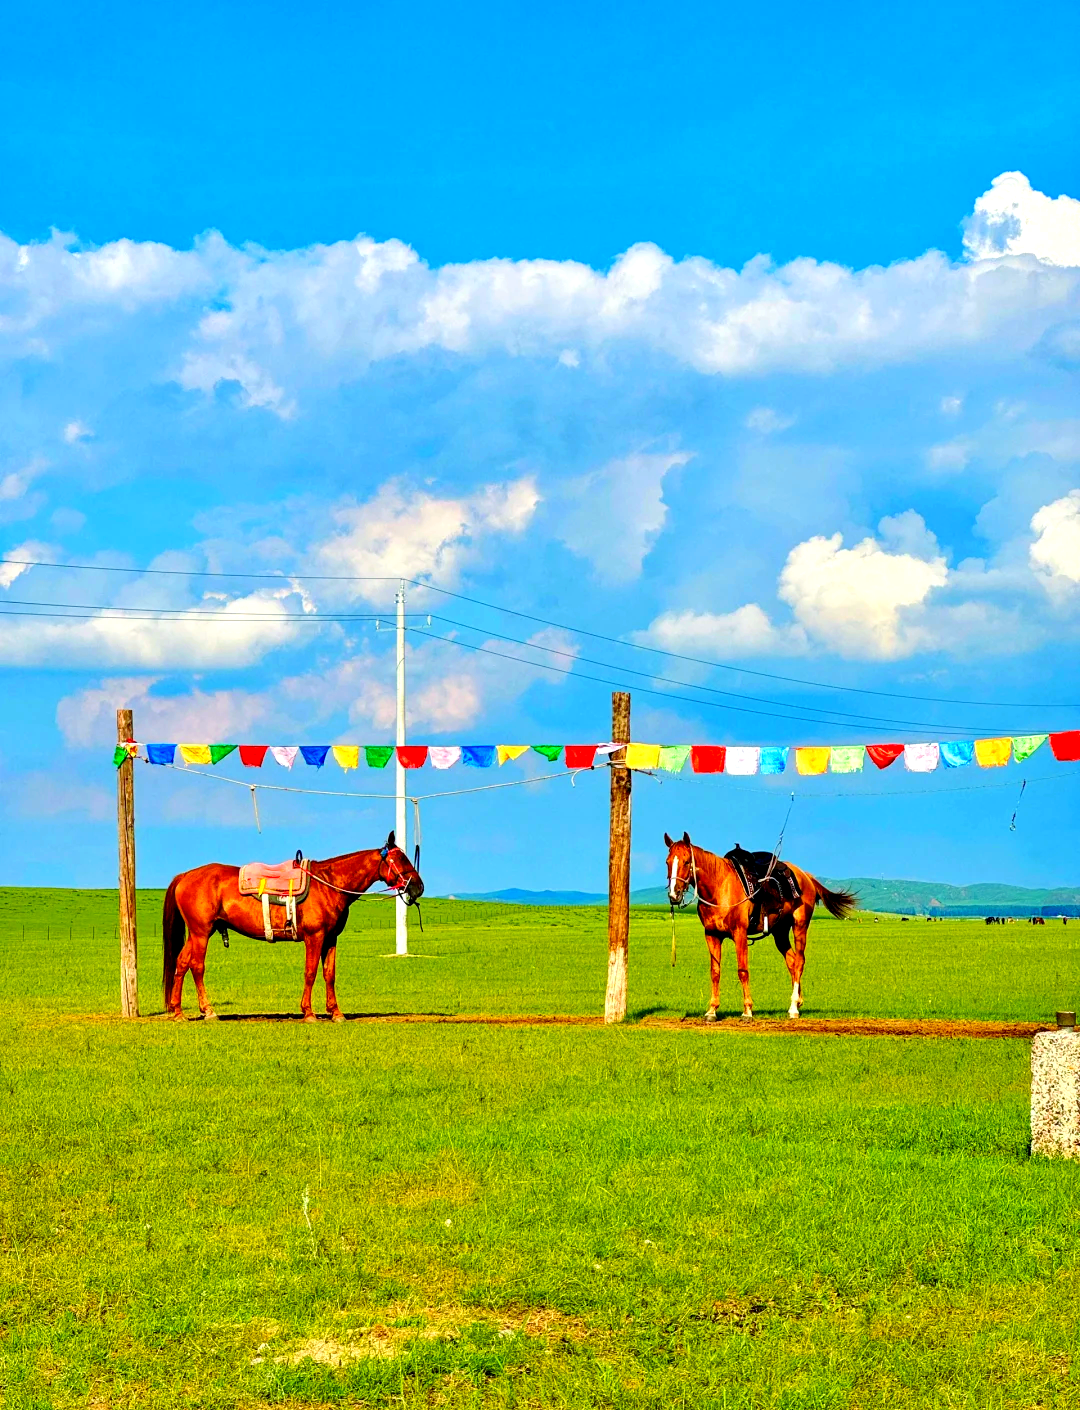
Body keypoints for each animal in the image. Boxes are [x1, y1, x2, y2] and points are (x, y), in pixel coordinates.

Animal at [162, 829, 425, 1020]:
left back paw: (178, 1011)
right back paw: (208, 1011)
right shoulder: (314, 937)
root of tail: (186, 875)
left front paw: (335, 1012)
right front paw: (308, 1012)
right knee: (197, 966)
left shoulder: (330, 938)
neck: (328, 883)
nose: (418, 887)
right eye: (399, 859)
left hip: (198, 933)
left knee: (181, 963)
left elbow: (329, 973)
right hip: (201, 932)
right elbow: (310, 972)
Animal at [665, 829, 857, 1020]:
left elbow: (743, 971)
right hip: (780, 932)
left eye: (686, 861)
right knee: (792, 961)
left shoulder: (739, 933)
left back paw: (793, 1008)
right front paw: (712, 1010)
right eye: (668, 862)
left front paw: (747, 1010)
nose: (674, 894)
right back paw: (797, 1002)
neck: (720, 888)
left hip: (800, 926)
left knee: (799, 961)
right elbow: (715, 972)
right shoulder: (712, 935)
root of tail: (805, 876)